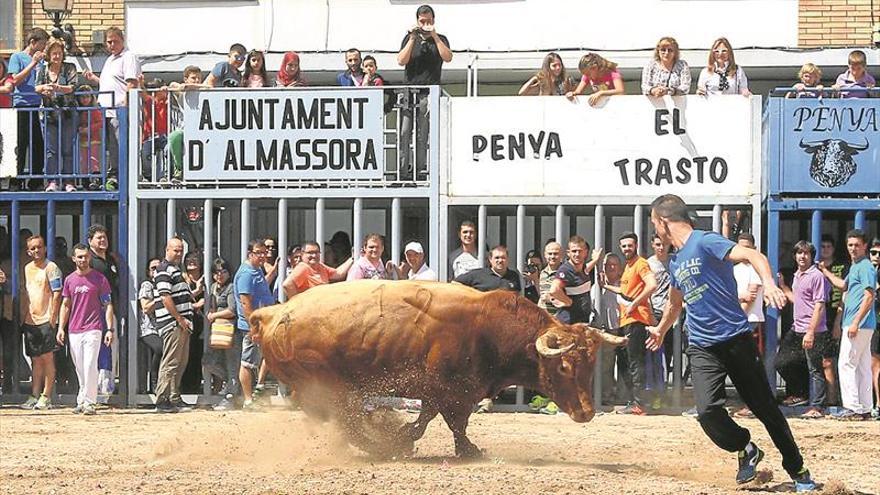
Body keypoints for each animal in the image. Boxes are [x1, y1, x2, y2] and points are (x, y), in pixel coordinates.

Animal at [249, 280, 624, 460]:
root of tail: (272, 313)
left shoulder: (440, 393)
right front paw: (468, 450)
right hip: (326, 385)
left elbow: (428, 420)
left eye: (591, 365)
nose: (587, 412)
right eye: (564, 365)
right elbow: (455, 423)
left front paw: (405, 437)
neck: (490, 328)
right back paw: (380, 446)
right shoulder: (452, 392)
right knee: (347, 422)